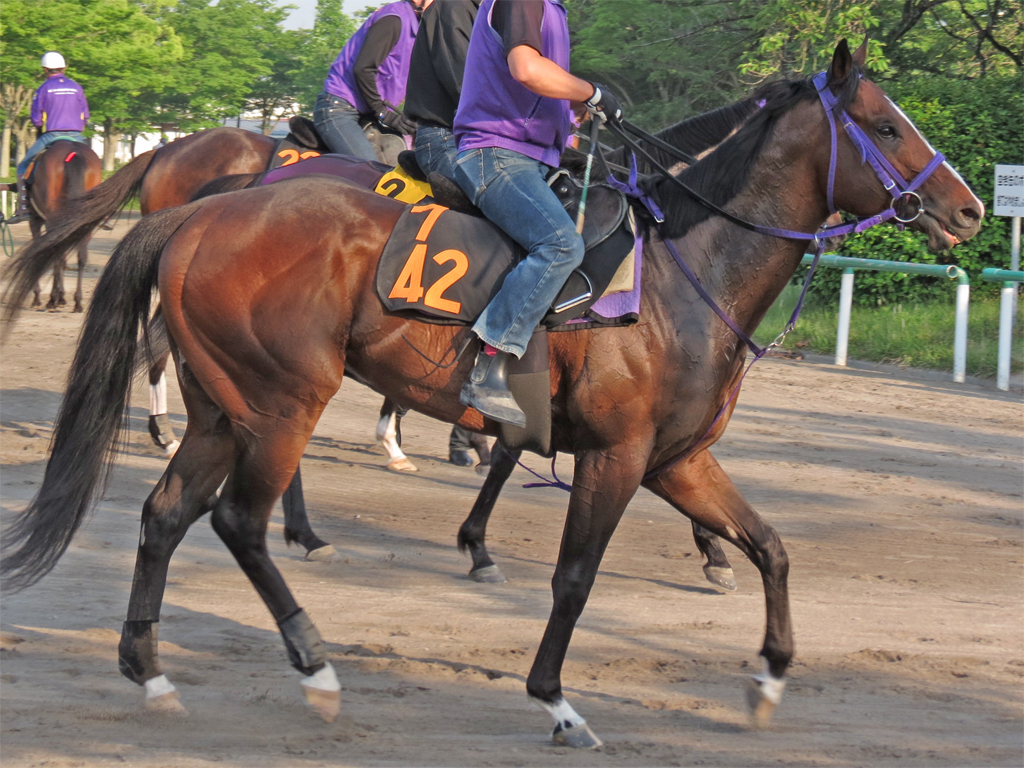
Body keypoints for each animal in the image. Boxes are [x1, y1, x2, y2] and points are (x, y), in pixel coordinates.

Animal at [12, 141, 101, 313]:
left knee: (56, 255)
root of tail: (74, 152)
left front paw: (40, 297)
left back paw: (52, 300)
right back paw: (77, 302)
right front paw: (62, 297)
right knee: (80, 257)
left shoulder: (35, 221)